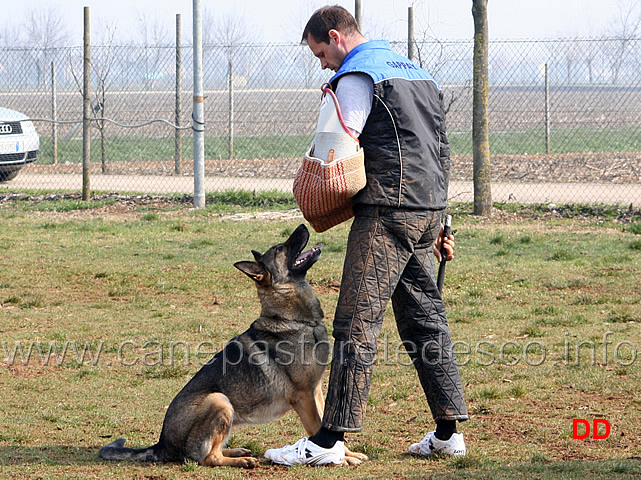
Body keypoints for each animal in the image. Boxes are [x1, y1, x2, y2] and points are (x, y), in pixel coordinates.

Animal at [102, 225, 368, 468]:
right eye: (279, 249)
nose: (303, 225)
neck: (294, 319)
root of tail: (161, 444)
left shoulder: (316, 391)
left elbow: (329, 426)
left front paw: (348, 453)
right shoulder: (303, 396)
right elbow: (316, 428)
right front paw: (338, 458)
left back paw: (239, 451)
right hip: (219, 400)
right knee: (207, 458)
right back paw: (243, 460)